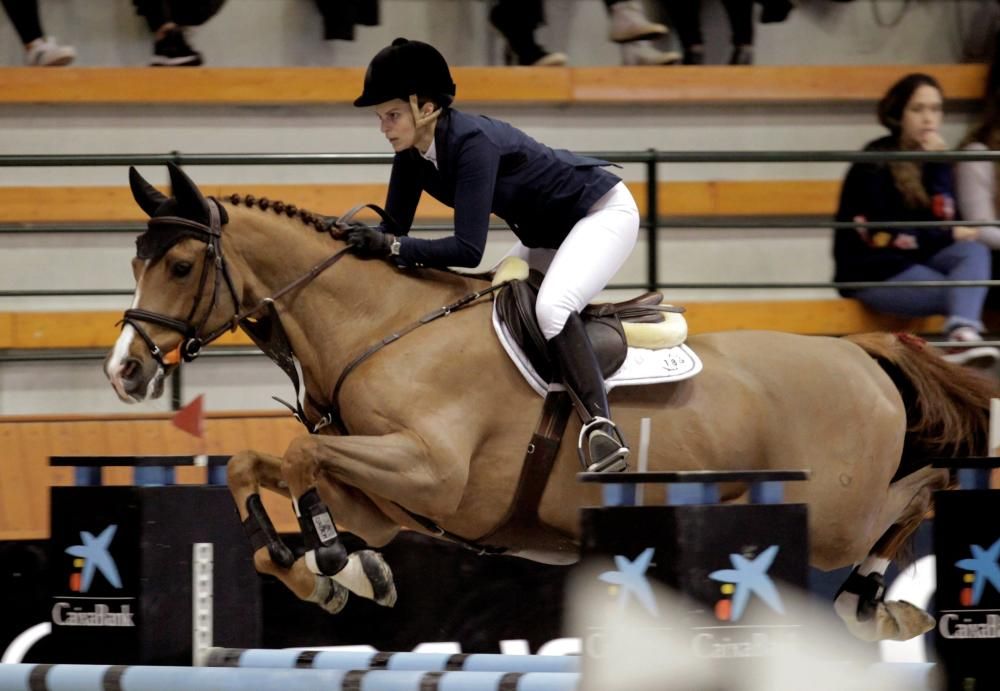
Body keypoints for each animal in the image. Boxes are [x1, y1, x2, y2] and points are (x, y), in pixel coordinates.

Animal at [105, 165, 996, 648]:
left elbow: (296, 456)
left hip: (839, 510)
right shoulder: (384, 499)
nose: (124, 371)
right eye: (136, 260)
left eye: (179, 264)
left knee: (919, 493)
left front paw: (331, 561)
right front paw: (338, 571)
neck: (380, 328)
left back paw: (873, 603)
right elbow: (252, 466)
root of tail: (861, 350)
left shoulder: (430, 472)